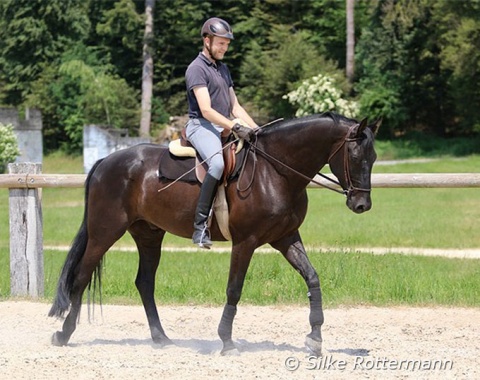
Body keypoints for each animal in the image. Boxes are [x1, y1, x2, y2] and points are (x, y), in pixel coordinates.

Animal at [47, 111, 378, 354]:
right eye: (355, 156)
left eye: (373, 158)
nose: (362, 204)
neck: (275, 170)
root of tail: (106, 161)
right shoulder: (246, 242)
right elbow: (234, 289)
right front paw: (227, 341)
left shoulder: (286, 238)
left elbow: (312, 278)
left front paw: (315, 336)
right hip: (105, 232)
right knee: (81, 276)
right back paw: (64, 334)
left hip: (149, 235)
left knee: (144, 282)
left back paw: (161, 338)